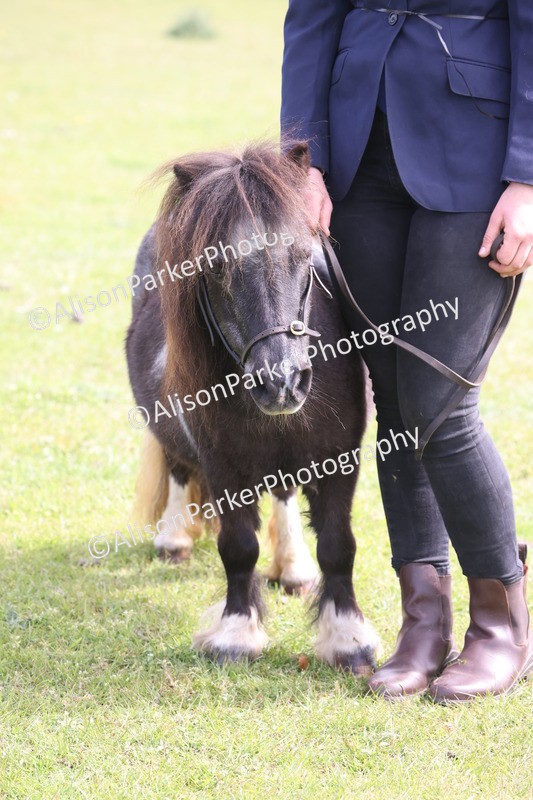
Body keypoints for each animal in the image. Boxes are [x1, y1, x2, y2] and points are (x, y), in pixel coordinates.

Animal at [126, 141, 380, 673]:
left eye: (305, 257)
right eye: (215, 265)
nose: (281, 381)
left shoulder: (339, 457)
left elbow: (338, 544)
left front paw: (347, 638)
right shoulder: (224, 464)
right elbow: (238, 547)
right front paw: (236, 635)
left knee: (282, 492)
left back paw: (293, 567)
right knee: (177, 467)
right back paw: (174, 539)